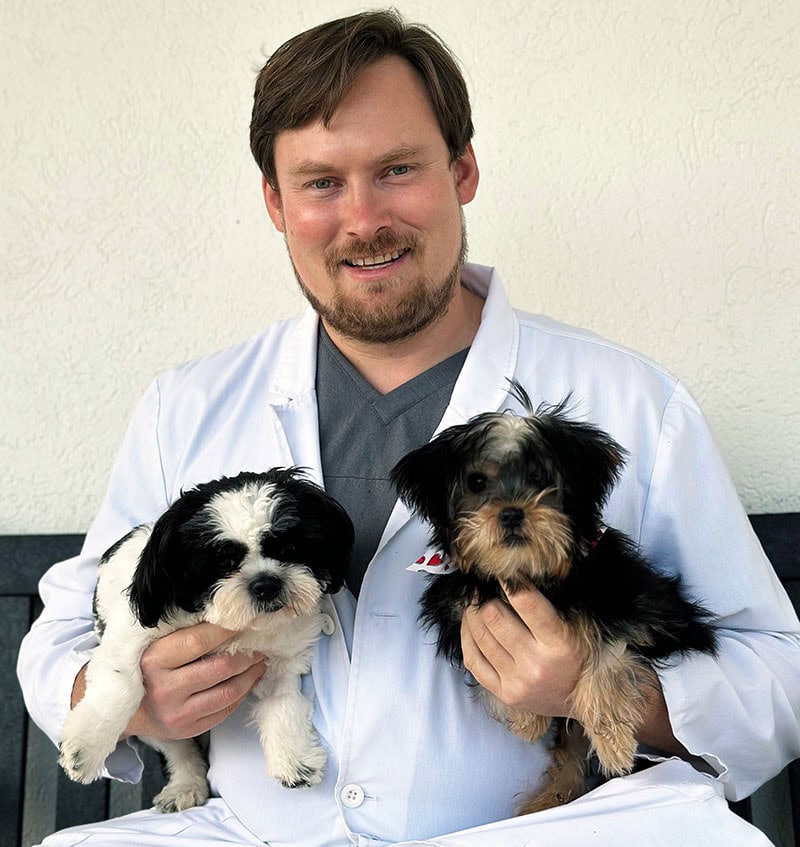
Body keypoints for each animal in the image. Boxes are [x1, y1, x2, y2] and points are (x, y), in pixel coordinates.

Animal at [59, 470, 354, 816]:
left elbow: (282, 703)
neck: (236, 626)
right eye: (224, 561)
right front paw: (85, 749)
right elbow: (123, 687)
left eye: (289, 547)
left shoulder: (281, 662)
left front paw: (294, 760)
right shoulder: (126, 639)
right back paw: (185, 783)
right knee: (176, 745)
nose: (266, 583)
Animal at [390, 384, 716, 816]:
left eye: (539, 478)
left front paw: (613, 741)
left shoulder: (630, 606)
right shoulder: (460, 612)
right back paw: (553, 796)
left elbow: (607, 649)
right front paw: (527, 717)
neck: (531, 574)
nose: (511, 513)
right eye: (476, 482)